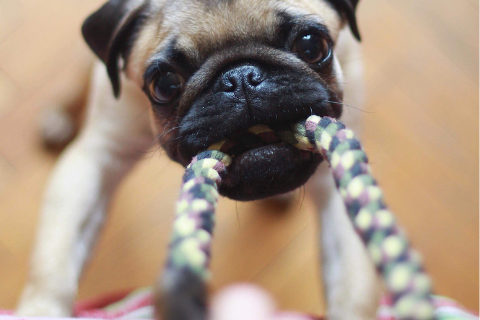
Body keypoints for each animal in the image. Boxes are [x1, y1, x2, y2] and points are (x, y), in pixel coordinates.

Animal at [16, 0, 380, 318]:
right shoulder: (99, 156)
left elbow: (353, 283)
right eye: (165, 84)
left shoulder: (336, 183)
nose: (241, 78)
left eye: (311, 47)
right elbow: (55, 258)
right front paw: (41, 310)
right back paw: (61, 115)